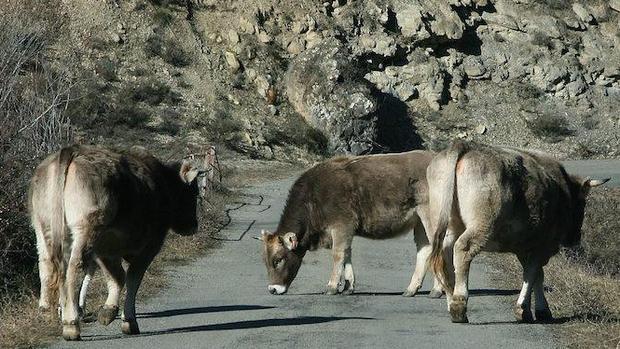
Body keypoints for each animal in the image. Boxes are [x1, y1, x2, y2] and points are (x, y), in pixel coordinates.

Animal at [29, 143, 216, 338]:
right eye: (193, 192)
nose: (193, 225)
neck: (161, 185)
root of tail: (72, 151)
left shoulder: (107, 249)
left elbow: (117, 277)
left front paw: (109, 310)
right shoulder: (149, 245)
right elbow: (133, 277)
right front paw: (128, 320)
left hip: (44, 228)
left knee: (47, 265)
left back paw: (48, 310)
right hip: (87, 228)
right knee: (74, 266)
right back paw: (71, 322)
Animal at [260, 150, 444, 296]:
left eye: (278, 259)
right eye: (265, 261)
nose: (272, 289)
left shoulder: (341, 224)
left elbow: (338, 254)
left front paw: (332, 286)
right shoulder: (345, 230)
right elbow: (347, 253)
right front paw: (348, 286)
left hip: (431, 216)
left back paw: (437, 290)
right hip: (419, 222)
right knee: (425, 250)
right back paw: (411, 289)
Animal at [428, 139, 608, 324]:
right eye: (583, 204)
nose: (576, 237)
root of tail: (466, 146)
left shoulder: (524, 247)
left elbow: (535, 275)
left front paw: (533, 309)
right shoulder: (541, 245)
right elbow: (533, 274)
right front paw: (528, 309)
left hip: (448, 225)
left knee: (445, 254)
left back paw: (450, 301)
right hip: (481, 225)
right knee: (463, 249)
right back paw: (459, 305)